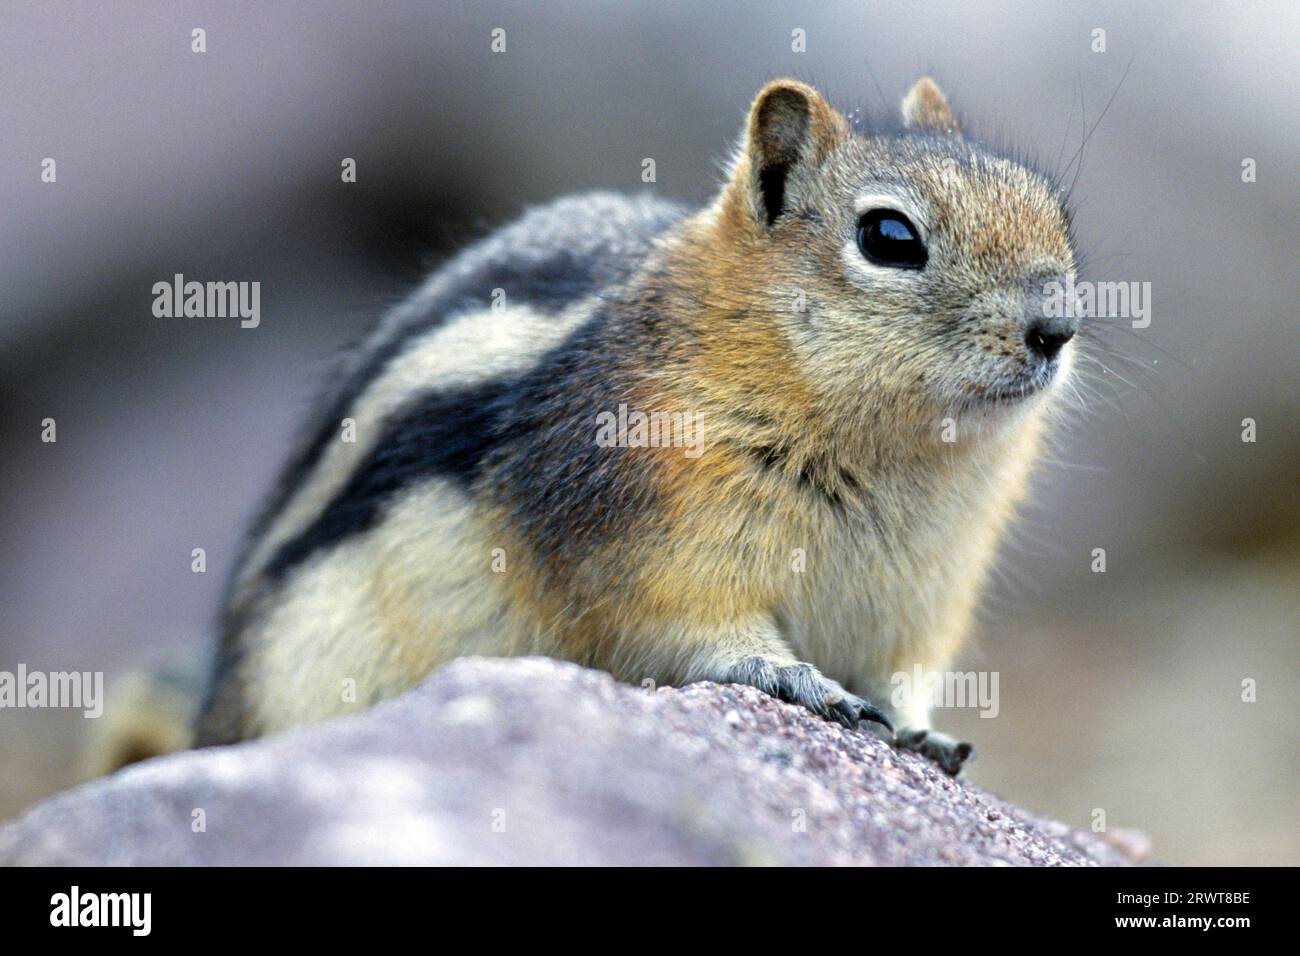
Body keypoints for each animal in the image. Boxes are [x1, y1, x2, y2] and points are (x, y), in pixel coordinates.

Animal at [197, 78, 1081, 775]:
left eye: (1053, 214)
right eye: (889, 237)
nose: (1057, 329)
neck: (898, 458)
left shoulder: (921, 601)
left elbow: (902, 683)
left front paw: (922, 730)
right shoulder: (652, 542)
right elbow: (688, 630)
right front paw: (789, 674)